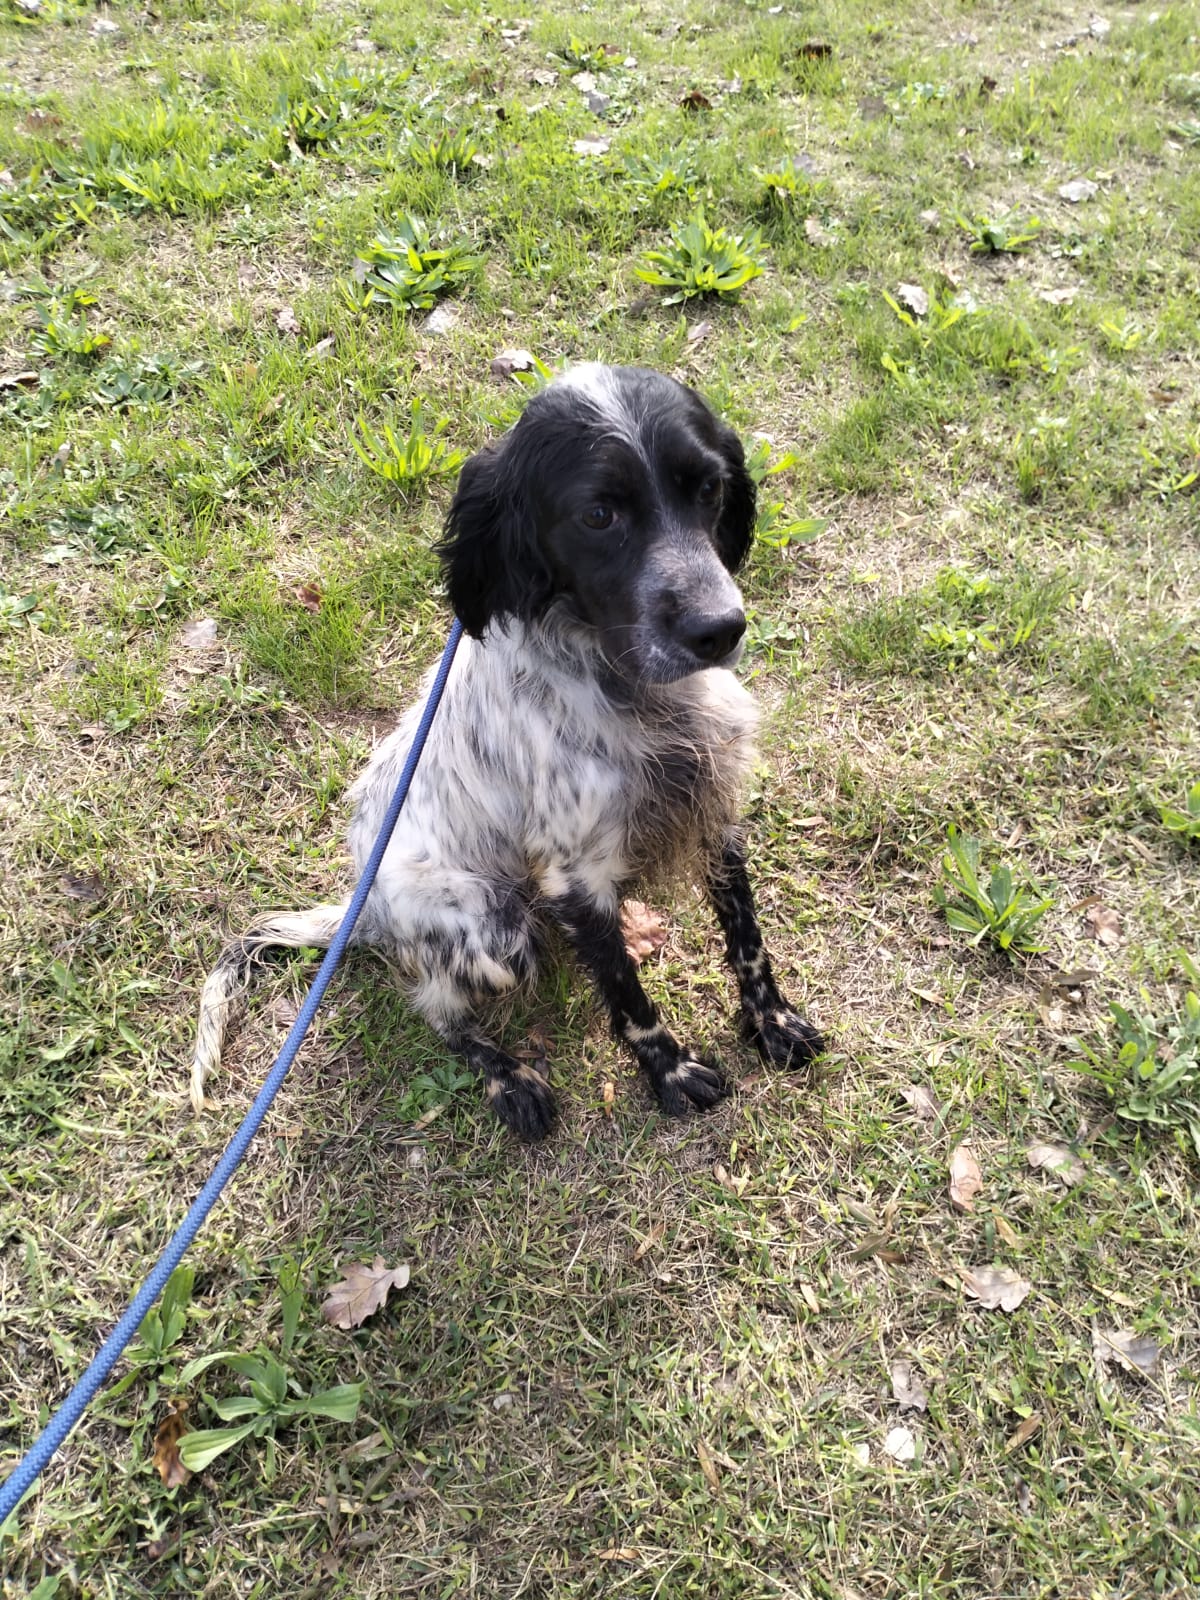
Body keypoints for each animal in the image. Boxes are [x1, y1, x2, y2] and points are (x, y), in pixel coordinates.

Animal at [191, 364, 824, 1138]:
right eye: (599, 515)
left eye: (707, 488)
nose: (720, 628)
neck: (631, 689)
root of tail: (363, 912)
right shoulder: (576, 874)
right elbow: (627, 995)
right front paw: (669, 1071)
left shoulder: (716, 809)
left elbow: (747, 937)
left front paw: (771, 1022)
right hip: (495, 929)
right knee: (435, 1008)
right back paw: (506, 1075)